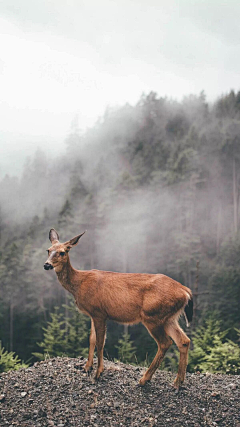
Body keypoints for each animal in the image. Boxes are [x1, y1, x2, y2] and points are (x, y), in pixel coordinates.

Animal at [43, 231, 193, 392]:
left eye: (62, 252)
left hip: (152, 315)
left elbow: (100, 342)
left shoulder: (99, 312)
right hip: (169, 318)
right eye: (48, 250)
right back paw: (178, 382)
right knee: (184, 341)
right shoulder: (93, 314)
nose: (47, 265)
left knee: (165, 343)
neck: (78, 284)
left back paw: (144, 379)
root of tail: (186, 291)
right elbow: (92, 339)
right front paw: (87, 367)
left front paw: (98, 373)